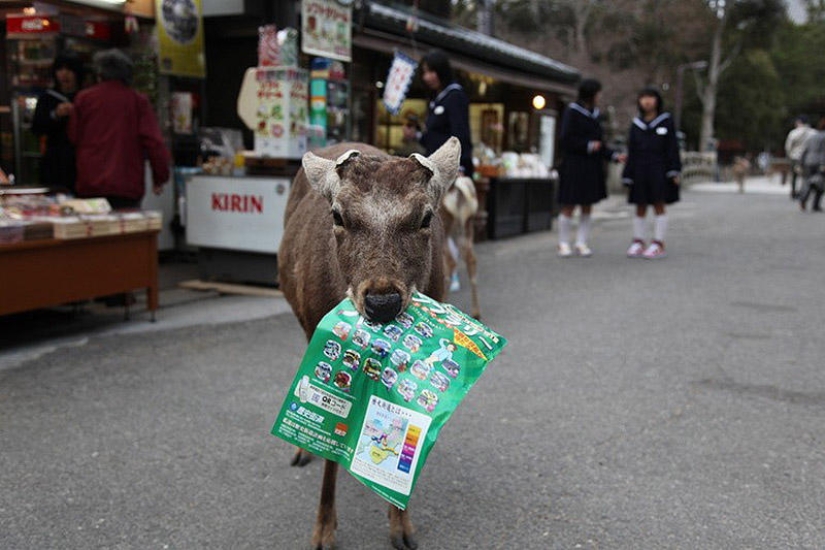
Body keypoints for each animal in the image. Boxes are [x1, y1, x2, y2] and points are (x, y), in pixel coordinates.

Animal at [277, 137, 461, 550]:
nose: (382, 302)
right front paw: (323, 531)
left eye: (426, 217)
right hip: (302, 321)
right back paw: (301, 448)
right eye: (338, 215)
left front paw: (402, 525)